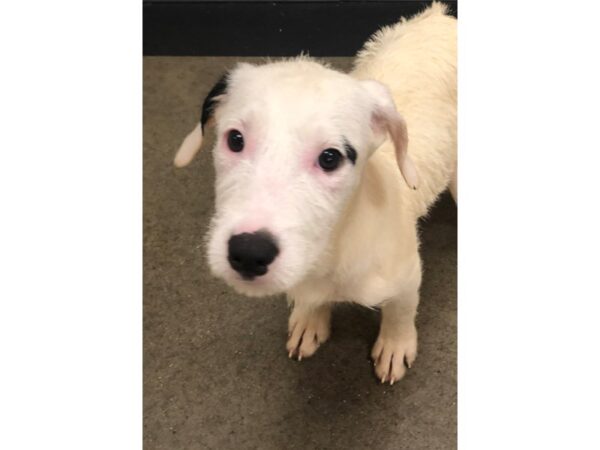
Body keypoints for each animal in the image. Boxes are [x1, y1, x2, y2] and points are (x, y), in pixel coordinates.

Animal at [176, 2, 458, 384]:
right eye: (235, 139)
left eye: (330, 158)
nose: (249, 253)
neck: (331, 251)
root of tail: (439, 17)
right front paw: (311, 318)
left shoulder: (407, 274)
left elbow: (401, 309)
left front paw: (395, 343)